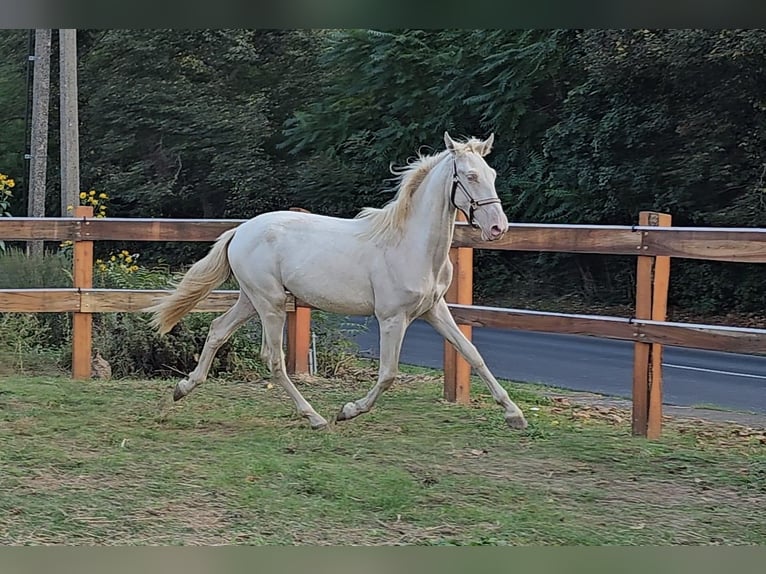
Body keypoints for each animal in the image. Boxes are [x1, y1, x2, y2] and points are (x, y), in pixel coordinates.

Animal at [146, 133, 528, 432]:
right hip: (270, 302)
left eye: (492, 174)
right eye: (470, 175)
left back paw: (182, 389)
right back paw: (315, 417)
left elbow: (473, 355)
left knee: (217, 330)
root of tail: (240, 231)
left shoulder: (434, 310)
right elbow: (388, 373)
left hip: (251, 299)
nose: (498, 227)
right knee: (273, 357)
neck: (409, 244)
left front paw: (515, 415)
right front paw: (347, 411)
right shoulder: (392, 318)